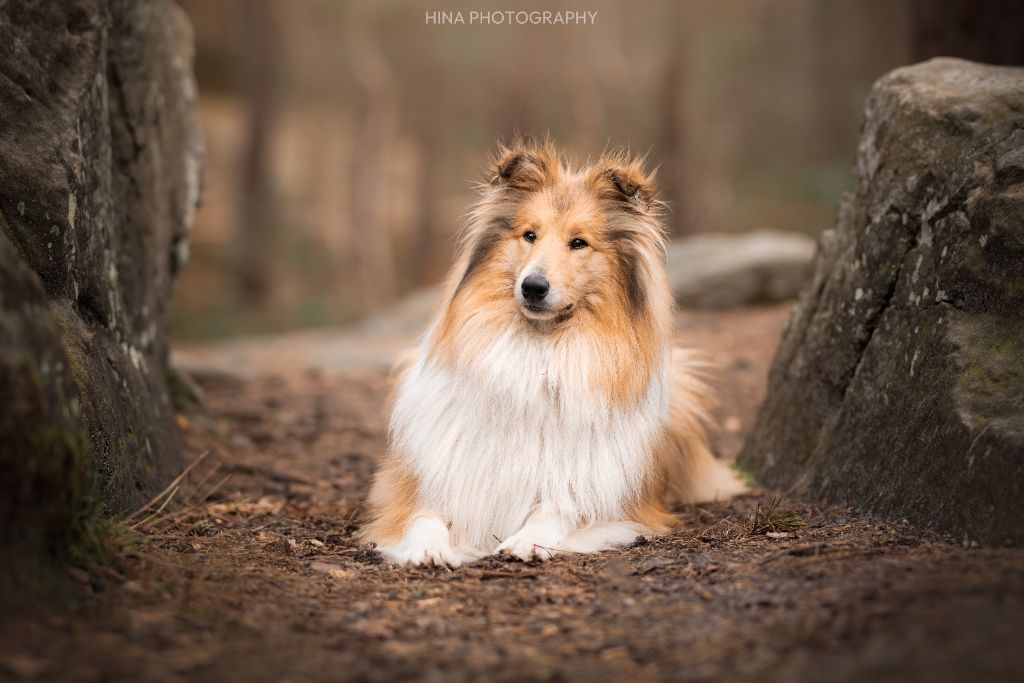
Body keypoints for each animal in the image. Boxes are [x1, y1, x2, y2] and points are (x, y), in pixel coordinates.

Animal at [360, 137, 745, 565]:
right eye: (530, 235)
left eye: (578, 243)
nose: (532, 287)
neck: (539, 353)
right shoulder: (428, 481)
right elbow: (422, 516)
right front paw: (427, 548)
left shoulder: (597, 490)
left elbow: (558, 508)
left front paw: (527, 540)